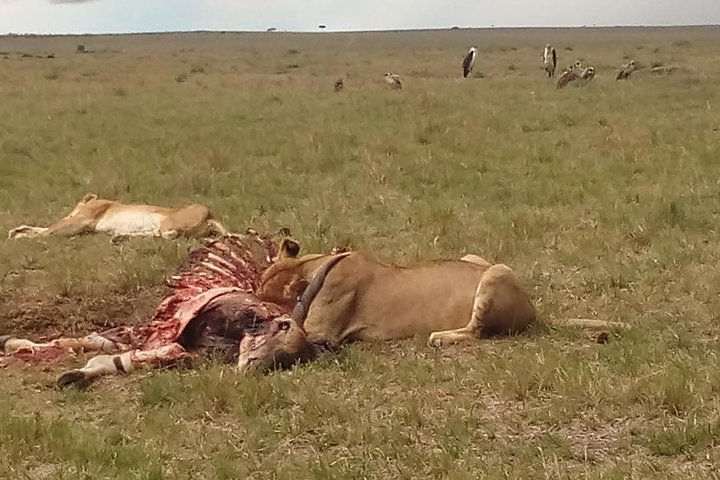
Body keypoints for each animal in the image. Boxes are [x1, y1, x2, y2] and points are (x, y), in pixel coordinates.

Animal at [236, 242, 628, 372]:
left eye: (262, 296)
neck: (313, 266)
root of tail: (536, 313)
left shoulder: (322, 333)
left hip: (497, 273)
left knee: (477, 331)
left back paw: (441, 337)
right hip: (473, 257)